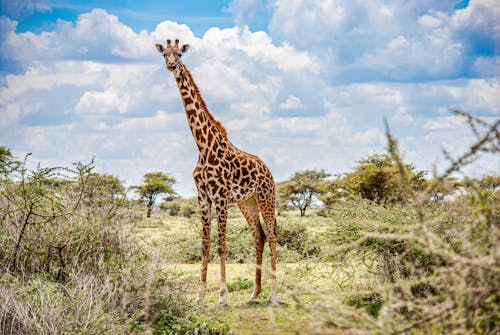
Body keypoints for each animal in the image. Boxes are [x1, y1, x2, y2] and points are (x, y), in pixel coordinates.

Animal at [155, 40, 278, 308]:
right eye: (164, 54)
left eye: (179, 55)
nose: (171, 65)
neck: (202, 146)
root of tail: (268, 171)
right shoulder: (203, 197)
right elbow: (205, 245)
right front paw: (200, 295)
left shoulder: (220, 197)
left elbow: (222, 245)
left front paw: (222, 296)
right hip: (247, 203)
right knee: (259, 236)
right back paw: (255, 293)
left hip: (266, 198)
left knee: (273, 236)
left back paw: (273, 295)